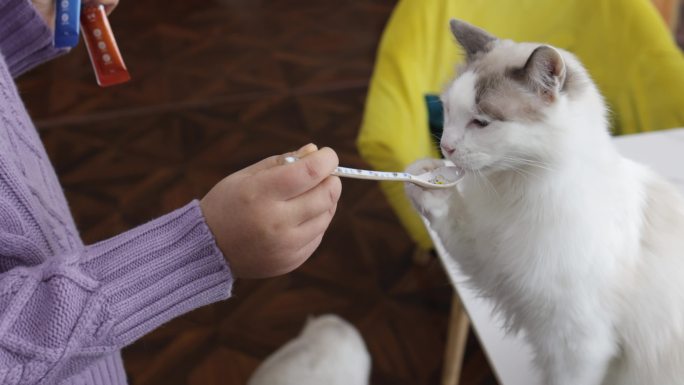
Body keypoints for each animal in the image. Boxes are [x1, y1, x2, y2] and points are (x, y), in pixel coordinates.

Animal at [406, 21, 684, 384]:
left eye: (481, 122)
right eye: (448, 110)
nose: (446, 147)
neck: (516, 193)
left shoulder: (575, 343)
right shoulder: (496, 265)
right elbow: (452, 221)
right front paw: (425, 178)